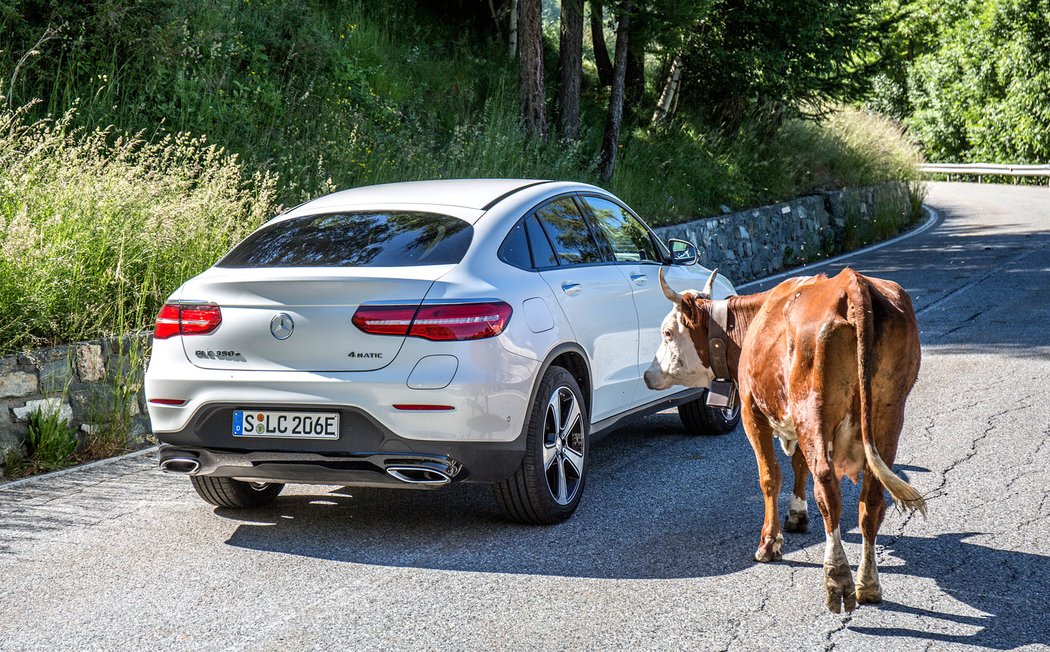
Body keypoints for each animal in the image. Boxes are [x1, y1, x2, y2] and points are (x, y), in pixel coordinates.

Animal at [638, 264, 928, 608]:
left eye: (668, 333)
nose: (647, 375)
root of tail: (851, 282)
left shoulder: (752, 411)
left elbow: (770, 476)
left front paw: (769, 543)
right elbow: (799, 466)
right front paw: (797, 515)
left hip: (812, 409)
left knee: (827, 487)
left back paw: (836, 578)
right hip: (888, 411)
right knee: (870, 497)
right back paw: (868, 584)